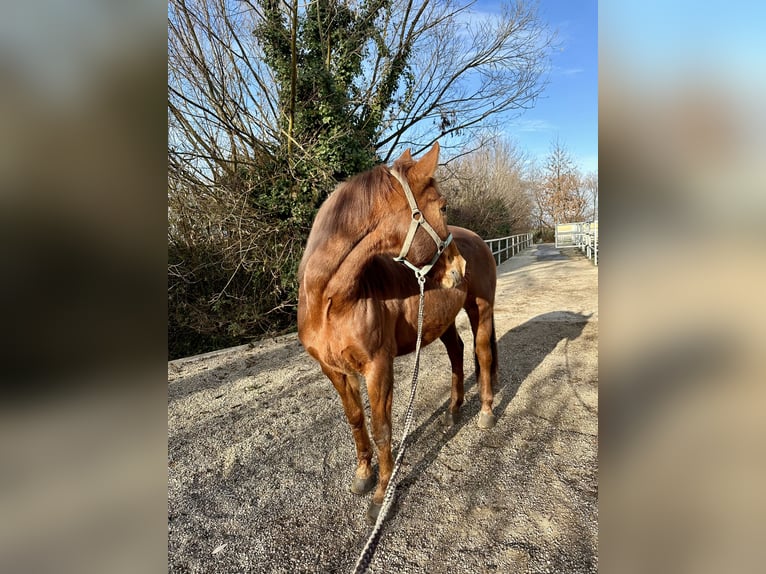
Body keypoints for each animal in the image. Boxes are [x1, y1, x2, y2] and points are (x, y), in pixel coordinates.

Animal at [296, 144, 500, 520]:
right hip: (442, 320)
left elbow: (382, 428)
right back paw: (453, 411)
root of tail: (478, 239)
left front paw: (381, 495)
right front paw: (363, 475)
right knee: (457, 351)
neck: (332, 301)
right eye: (442, 206)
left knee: (482, 353)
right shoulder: (334, 370)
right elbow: (356, 420)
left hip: (481, 309)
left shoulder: (378, 366)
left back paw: (486, 413)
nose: (459, 267)